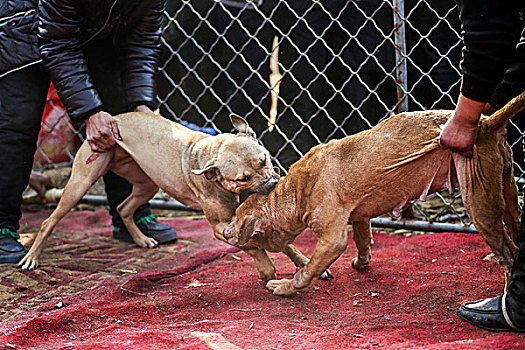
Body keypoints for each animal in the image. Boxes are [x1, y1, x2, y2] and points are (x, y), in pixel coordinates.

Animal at [17, 113, 282, 270]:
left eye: (264, 160)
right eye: (243, 178)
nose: (272, 184)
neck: (211, 155)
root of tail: (114, 120)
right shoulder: (221, 227)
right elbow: (252, 246)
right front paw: (266, 269)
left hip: (147, 184)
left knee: (123, 208)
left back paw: (141, 239)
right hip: (80, 184)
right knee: (48, 221)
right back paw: (31, 258)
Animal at [222, 92, 524, 296]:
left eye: (237, 219)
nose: (224, 231)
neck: (294, 191)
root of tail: (486, 122)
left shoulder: (331, 240)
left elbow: (307, 272)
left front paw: (285, 287)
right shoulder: (359, 215)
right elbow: (363, 239)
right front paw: (362, 262)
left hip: (479, 204)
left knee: (508, 252)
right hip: (508, 193)